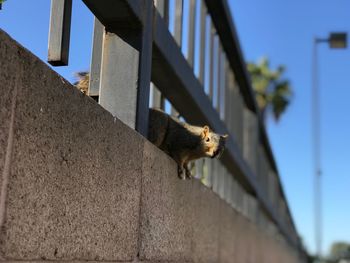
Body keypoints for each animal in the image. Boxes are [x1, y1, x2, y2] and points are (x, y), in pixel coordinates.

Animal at [74, 71, 228, 179]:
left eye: (223, 147)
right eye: (207, 139)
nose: (216, 152)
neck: (196, 148)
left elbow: (186, 162)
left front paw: (188, 170)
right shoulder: (179, 142)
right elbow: (178, 156)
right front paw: (181, 168)